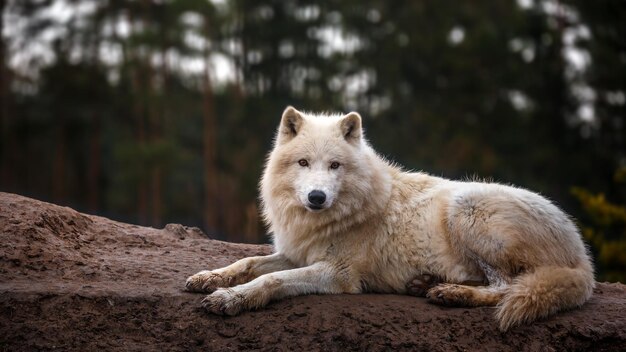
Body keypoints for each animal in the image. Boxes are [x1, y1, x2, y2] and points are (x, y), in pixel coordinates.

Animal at [183, 105, 592, 330]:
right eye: (303, 163)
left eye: (335, 165)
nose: (317, 197)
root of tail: (582, 258)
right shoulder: (297, 252)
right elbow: (249, 262)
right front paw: (210, 278)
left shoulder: (338, 273)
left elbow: (272, 280)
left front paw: (231, 299)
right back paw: (425, 284)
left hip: (466, 208)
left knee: (507, 286)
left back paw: (449, 293)